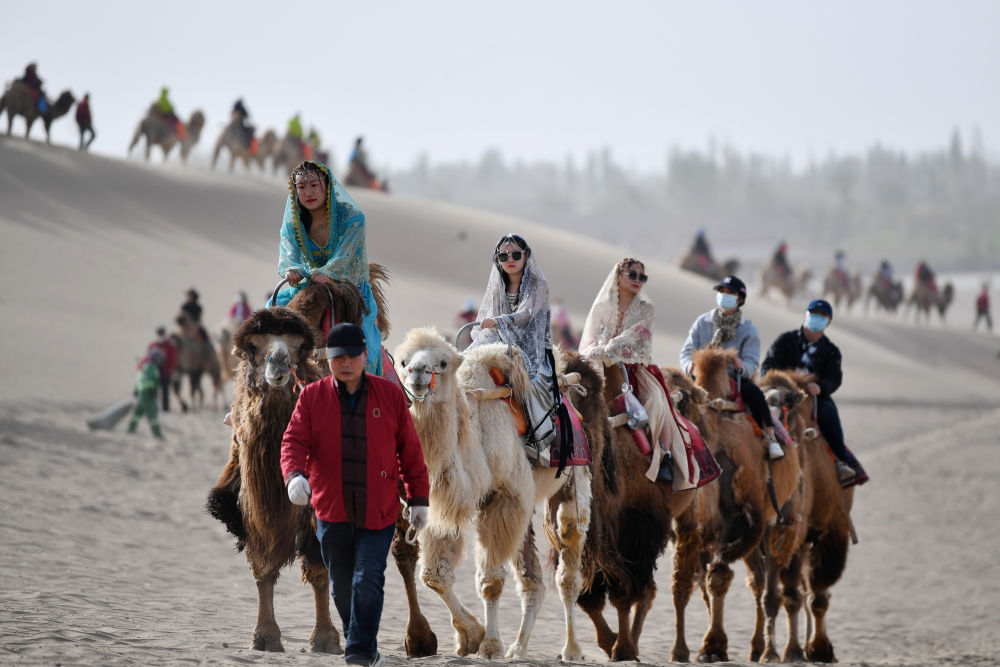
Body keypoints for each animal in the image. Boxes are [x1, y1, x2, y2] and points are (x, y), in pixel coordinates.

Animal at [205, 306, 342, 652]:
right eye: (254, 347)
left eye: (298, 347)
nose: (278, 362)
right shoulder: (250, 509)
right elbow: (262, 568)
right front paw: (265, 636)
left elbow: (319, 569)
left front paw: (325, 638)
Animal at [392, 328, 592, 664]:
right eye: (403, 361)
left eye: (443, 363)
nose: (418, 374)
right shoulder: (442, 505)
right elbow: (434, 576)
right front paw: (470, 636)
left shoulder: (504, 497)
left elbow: (491, 582)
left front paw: (490, 646)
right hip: (526, 510)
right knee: (533, 581)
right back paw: (519, 649)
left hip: (574, 481)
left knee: (568, 567)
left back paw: (572, 649)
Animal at [572, 358, 696, 660]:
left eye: (584, 391)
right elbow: (589, 598)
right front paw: (611, 641)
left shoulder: (635, 529)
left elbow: (623, 595)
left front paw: (622, 648)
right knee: (649, 591)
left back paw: (678, 650)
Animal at [664, 350, 804, 664]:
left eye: (679, 399)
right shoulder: (690, 529)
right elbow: (683, 583)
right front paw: (680, 649)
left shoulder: (739, 522)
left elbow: (717, 578)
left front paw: (712, 647)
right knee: (758, 581)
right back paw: (757, 647)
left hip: (782, 520)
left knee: (771, 589)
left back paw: (770, 651)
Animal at [760, 370, 856, 664]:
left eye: (788, 406)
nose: (772, 434)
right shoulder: (770, 538)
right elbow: (773, 596)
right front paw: (770, 652)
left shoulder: (826, 532)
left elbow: (811, 594)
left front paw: (813, 649)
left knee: (811, 591)